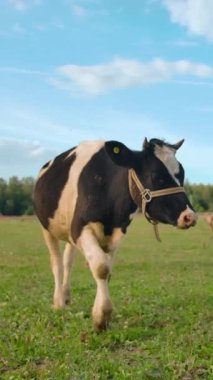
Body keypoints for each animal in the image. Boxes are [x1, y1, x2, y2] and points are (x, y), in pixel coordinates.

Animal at [32, 138, 196, 332]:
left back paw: (65, 296)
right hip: (47, 227)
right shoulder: (79, 228)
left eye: (182, 174)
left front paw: (100, 313)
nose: (189, 216)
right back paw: (58, 302)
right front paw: (101, 316)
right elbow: (101, 268)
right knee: (56, 263)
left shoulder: (117, 233)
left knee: (67, 261)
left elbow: (107, 271)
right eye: (156, 175)